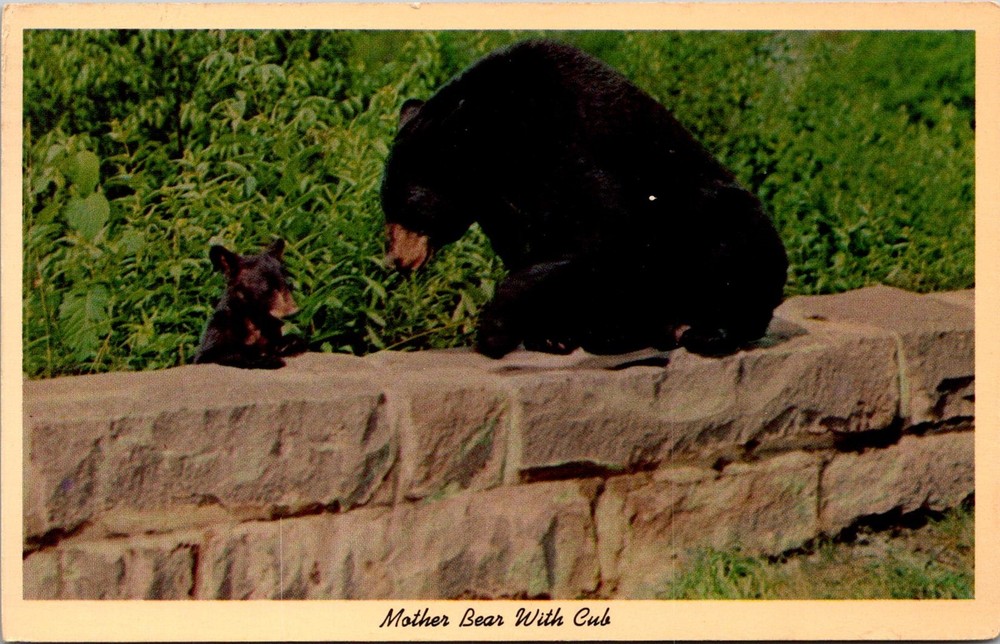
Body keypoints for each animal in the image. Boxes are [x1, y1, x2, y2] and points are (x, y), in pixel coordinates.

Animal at [193, 239, 307, 369]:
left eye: (289, 285)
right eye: (266, 287)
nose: (293, 312)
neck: (254, 319)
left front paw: (289, 345)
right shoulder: (218, 334)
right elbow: (227, 353)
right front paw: (269, 360)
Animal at [381, 39, 788, 359]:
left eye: (407, 209)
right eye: (386, 208)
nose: (396, 261)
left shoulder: (569, 146)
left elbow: (597, 227)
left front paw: (494, 329)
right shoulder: (498, 204)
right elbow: (529, 250)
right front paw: (549, 334)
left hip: (712, 223)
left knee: (738, 252)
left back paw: (708, 332)